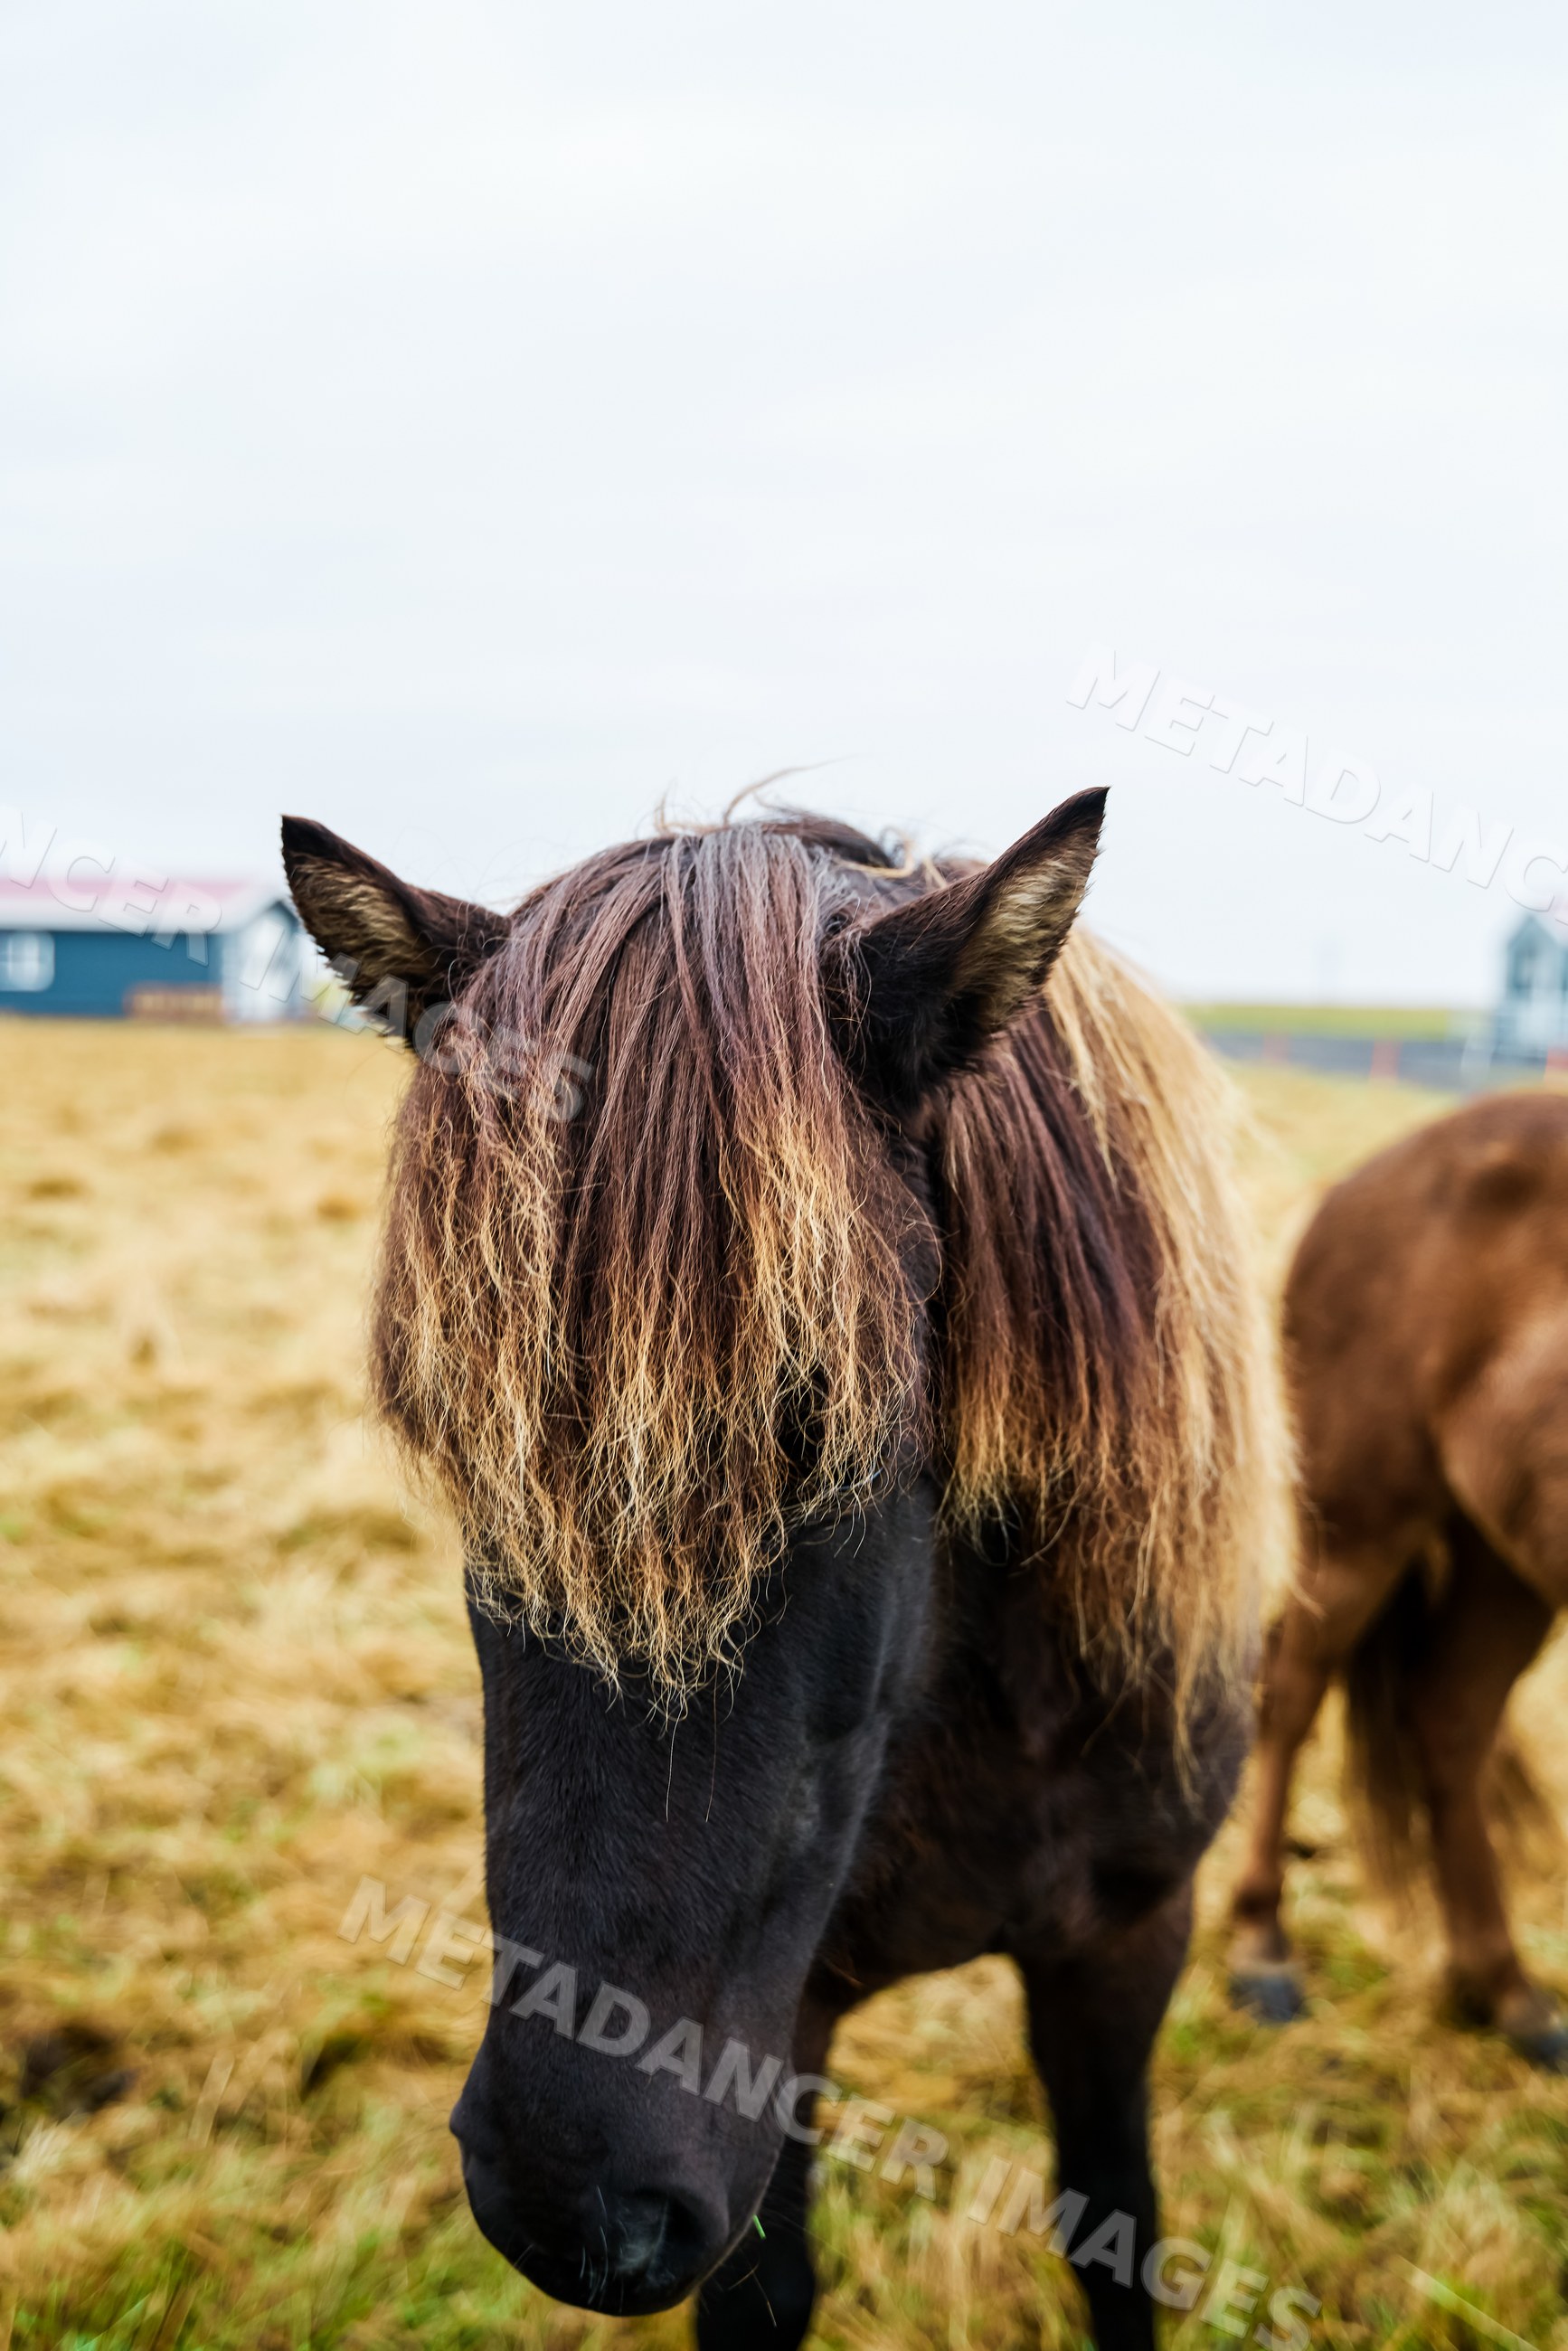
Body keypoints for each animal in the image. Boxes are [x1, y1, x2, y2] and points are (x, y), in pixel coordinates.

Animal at [283, 790, 1285, 2351]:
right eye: (450, 1430)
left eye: (823, 1415)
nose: (570, 2208)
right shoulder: (782, 2022)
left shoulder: (1127, 1943)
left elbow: (1113, 2232)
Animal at [1229, 1089, 1568, 2070]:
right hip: (1363, 1519)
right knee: (1293, 1689)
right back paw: (1262, 1948)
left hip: (1504, 1554)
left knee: (1450, 1716)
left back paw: (1506, 1990)